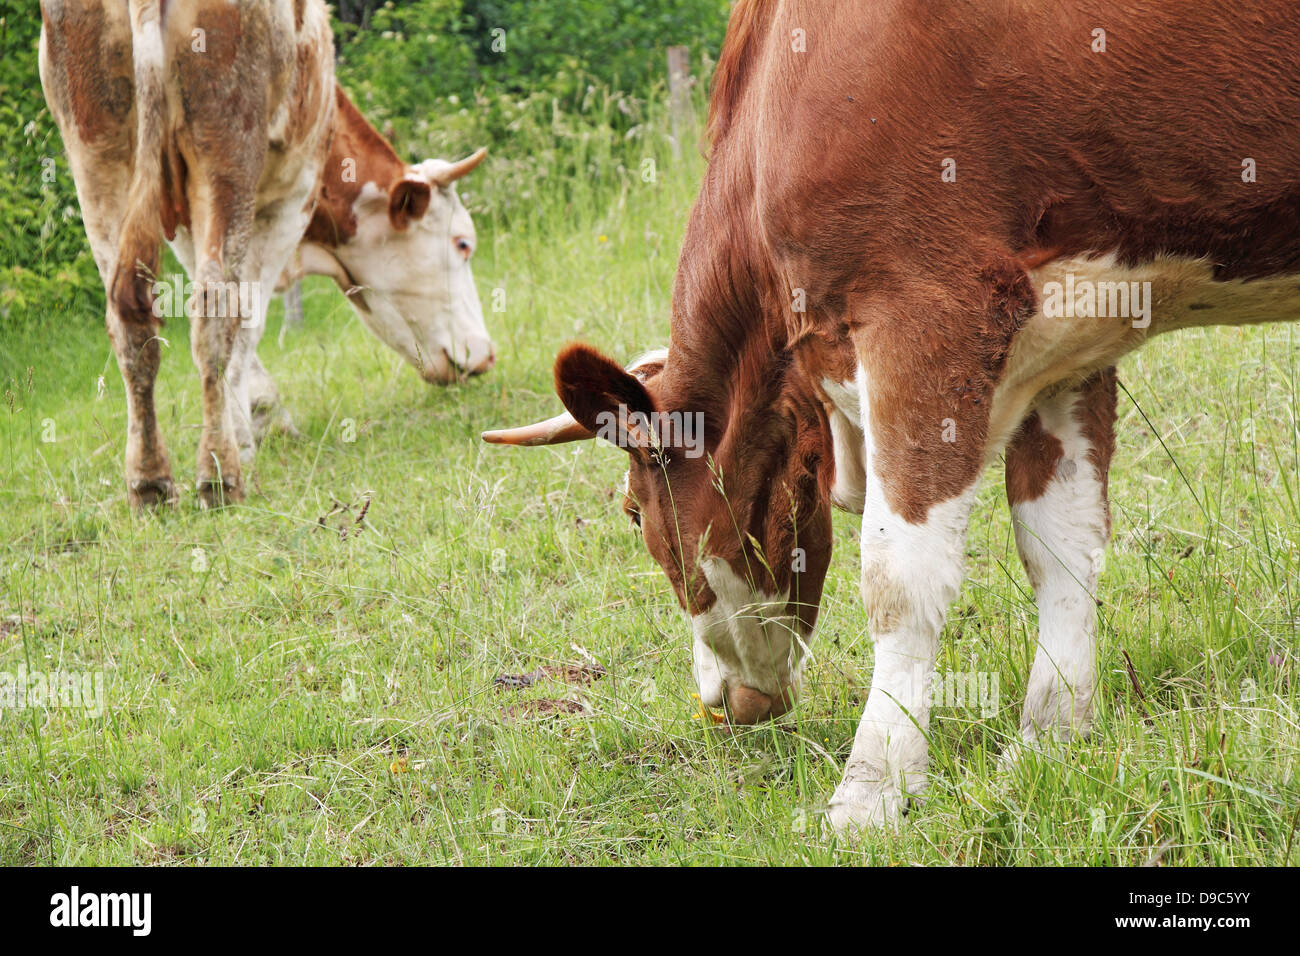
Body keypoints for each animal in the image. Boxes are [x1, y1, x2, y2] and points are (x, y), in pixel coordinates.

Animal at [41, 0, 491, 509]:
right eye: (462, 243)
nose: (485, 355)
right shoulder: (292, 199)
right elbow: (248, 318)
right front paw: (249, 429)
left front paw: (255, 416)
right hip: (228, 151)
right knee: (213, 313)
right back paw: (219, 475)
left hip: (97, 151)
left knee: (130, 316)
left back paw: (150, 482)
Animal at [483, 0, 1300, 832]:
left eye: (629, 511)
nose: (719, 704)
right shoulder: (1069, 343)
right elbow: (1062, 546)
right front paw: (1051, 738)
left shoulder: (929, 305)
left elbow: (899, 578)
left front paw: (872, 790)